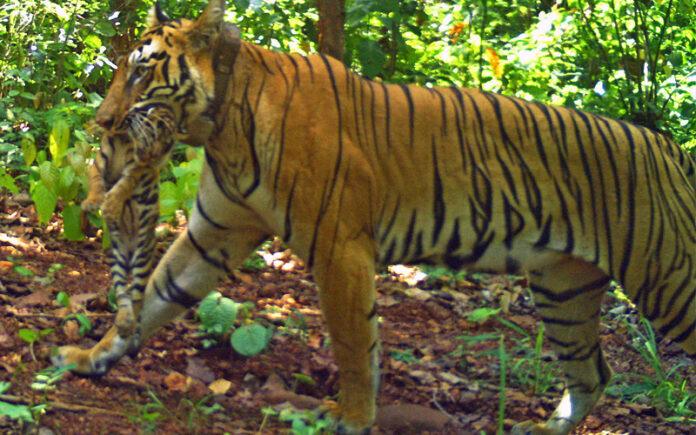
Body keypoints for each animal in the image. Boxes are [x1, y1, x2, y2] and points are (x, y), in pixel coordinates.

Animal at [82, 109, 176, 337]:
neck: (121, 138)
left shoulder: (135, 166)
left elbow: (122, 186)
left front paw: (111, 206)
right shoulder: (98, 163)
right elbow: (96, 182)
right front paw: (92, 201)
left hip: (143, 253)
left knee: (137, 294)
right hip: (117, 256)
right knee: (122, 291)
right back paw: (123, 320)